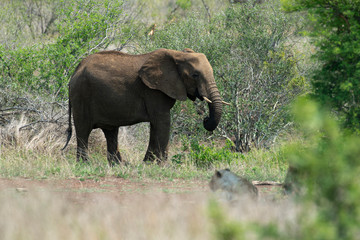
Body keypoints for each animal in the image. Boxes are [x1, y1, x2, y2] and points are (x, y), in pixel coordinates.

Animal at [61, 48, 225, 165]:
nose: (205, 118)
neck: (177, 55)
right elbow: (163, 122)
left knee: (111, 132)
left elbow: (155, 124)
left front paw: (148, 163)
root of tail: (74, 72)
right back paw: (85, 164)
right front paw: (163, 165)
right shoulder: (153, 90)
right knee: (83, 130)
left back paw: (119, 165)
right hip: (81, 96)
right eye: (195, 75)